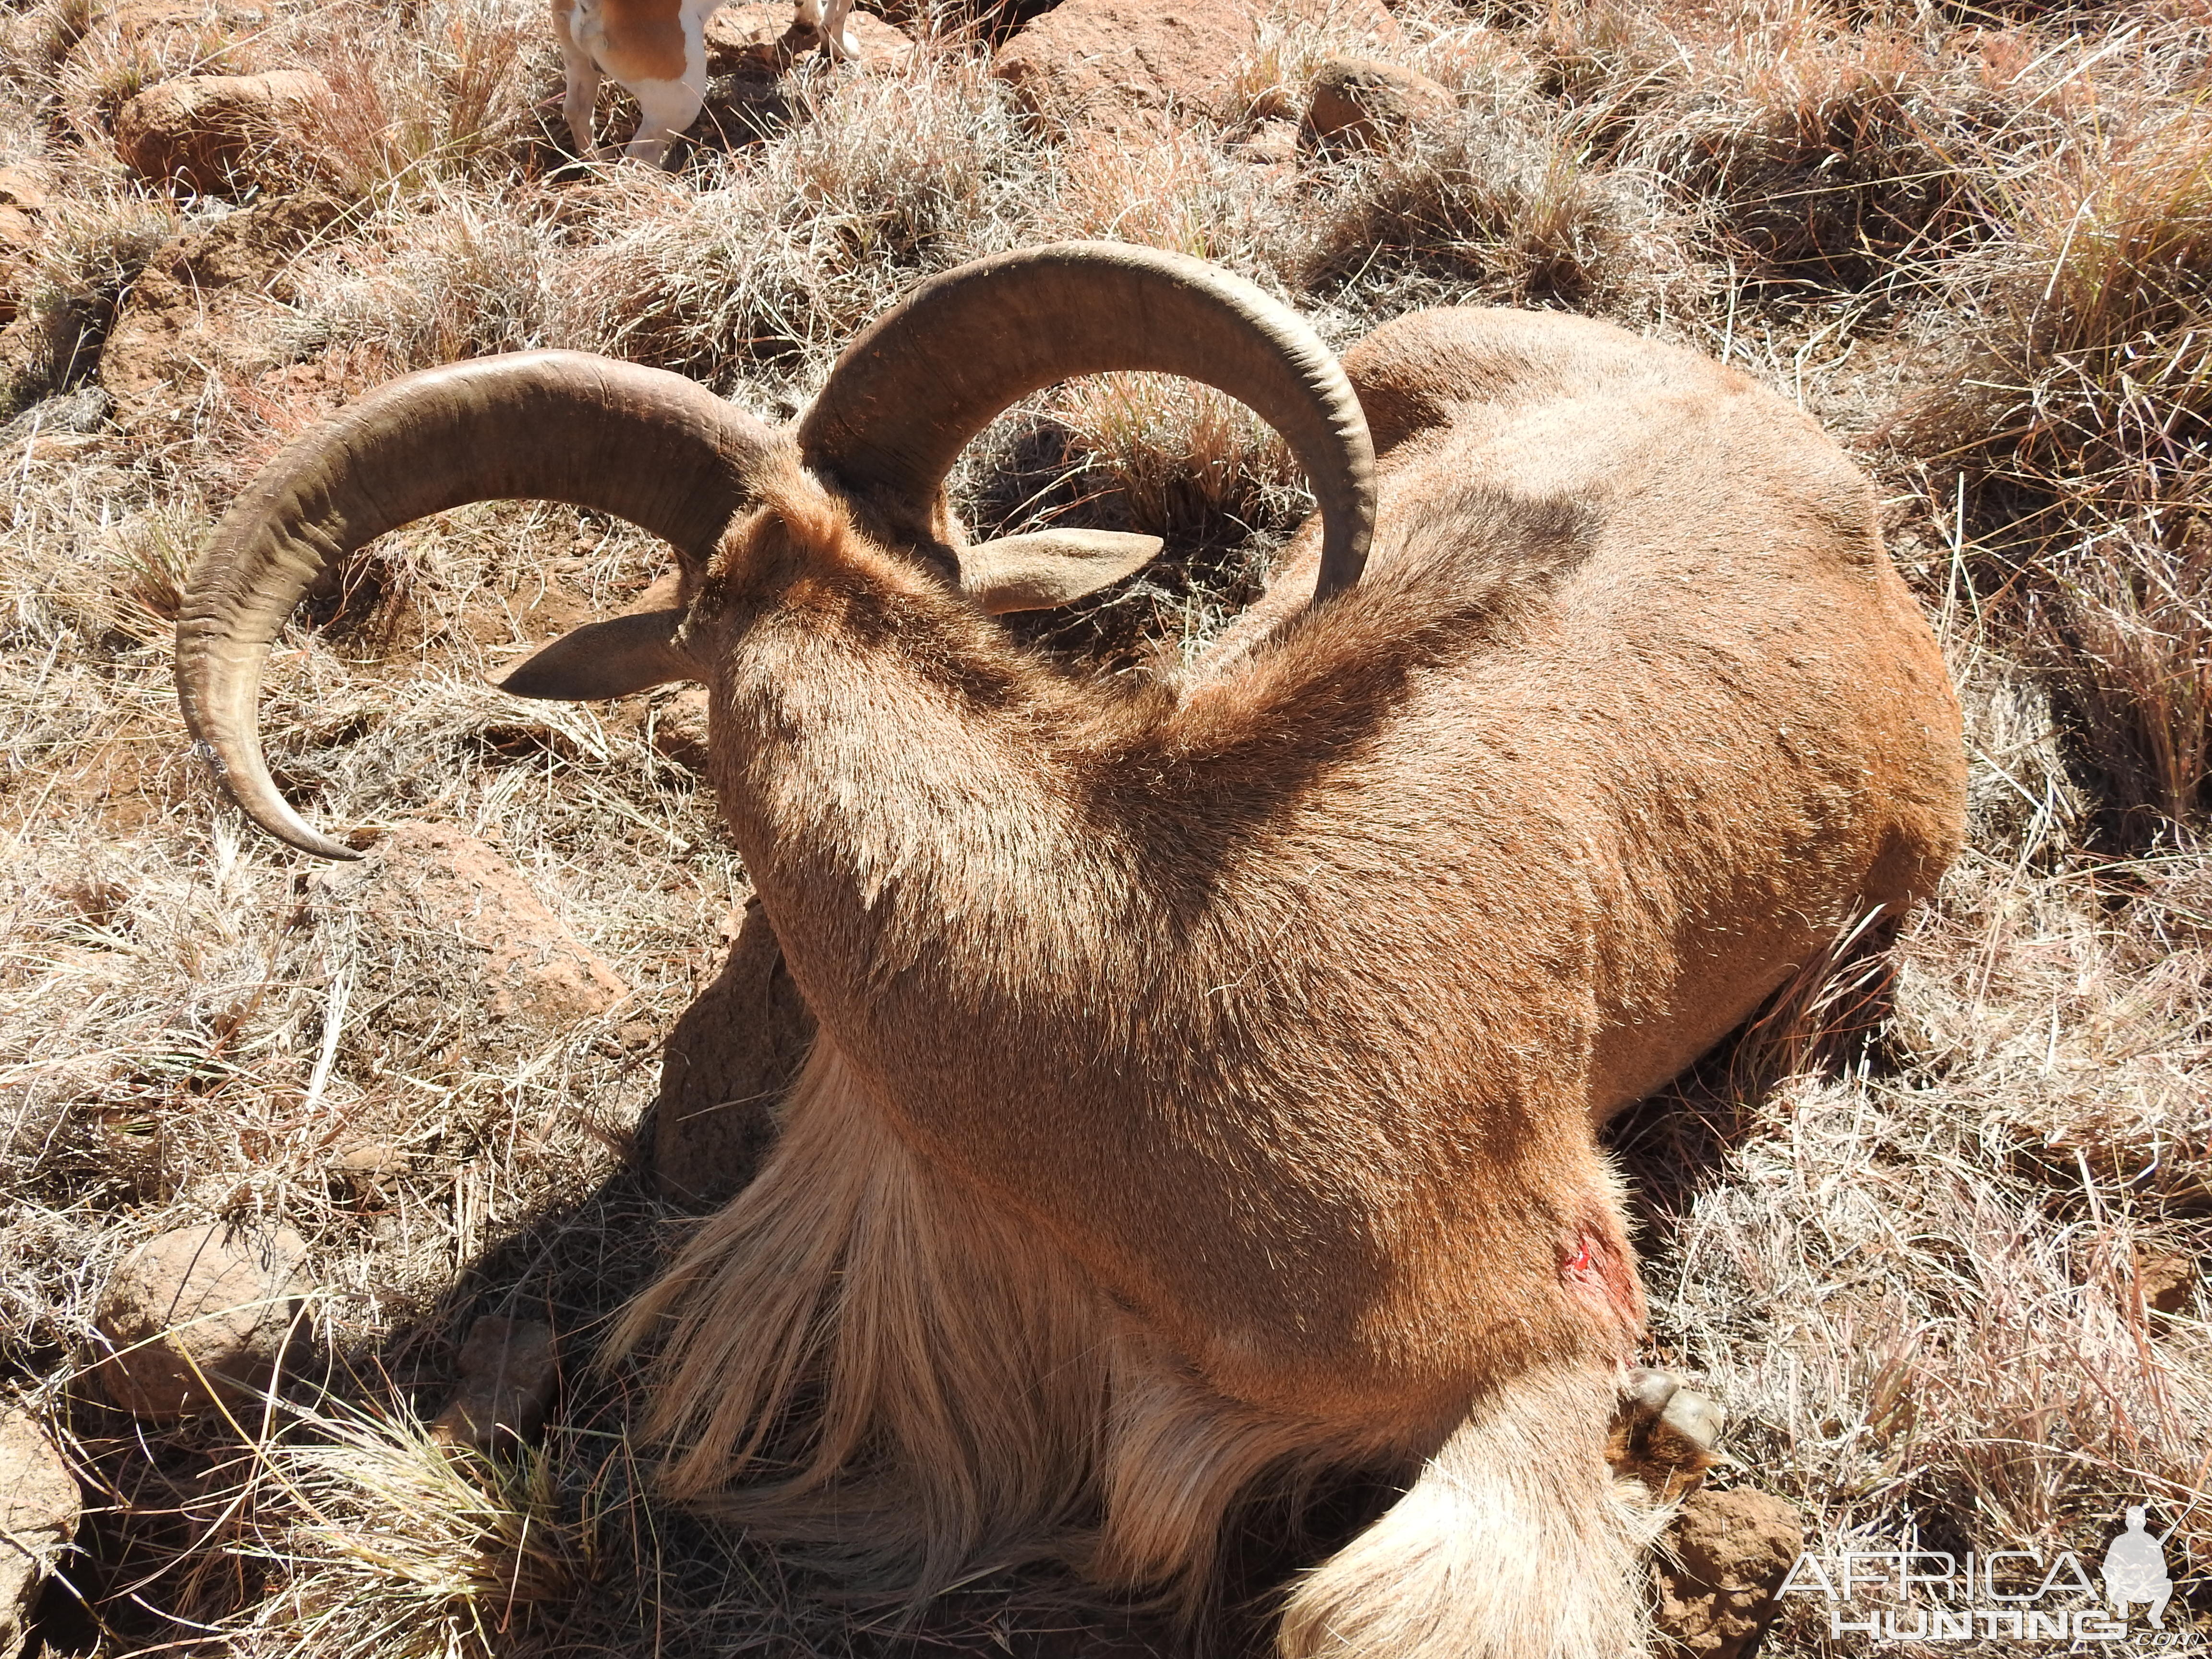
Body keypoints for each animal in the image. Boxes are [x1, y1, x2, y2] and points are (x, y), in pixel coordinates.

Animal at [553, 0, 863, 167]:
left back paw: (597, 162)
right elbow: (837, 17)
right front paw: (840, 47)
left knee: (577, 112)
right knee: (638, 157)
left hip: (578, 63)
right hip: (680, 102)